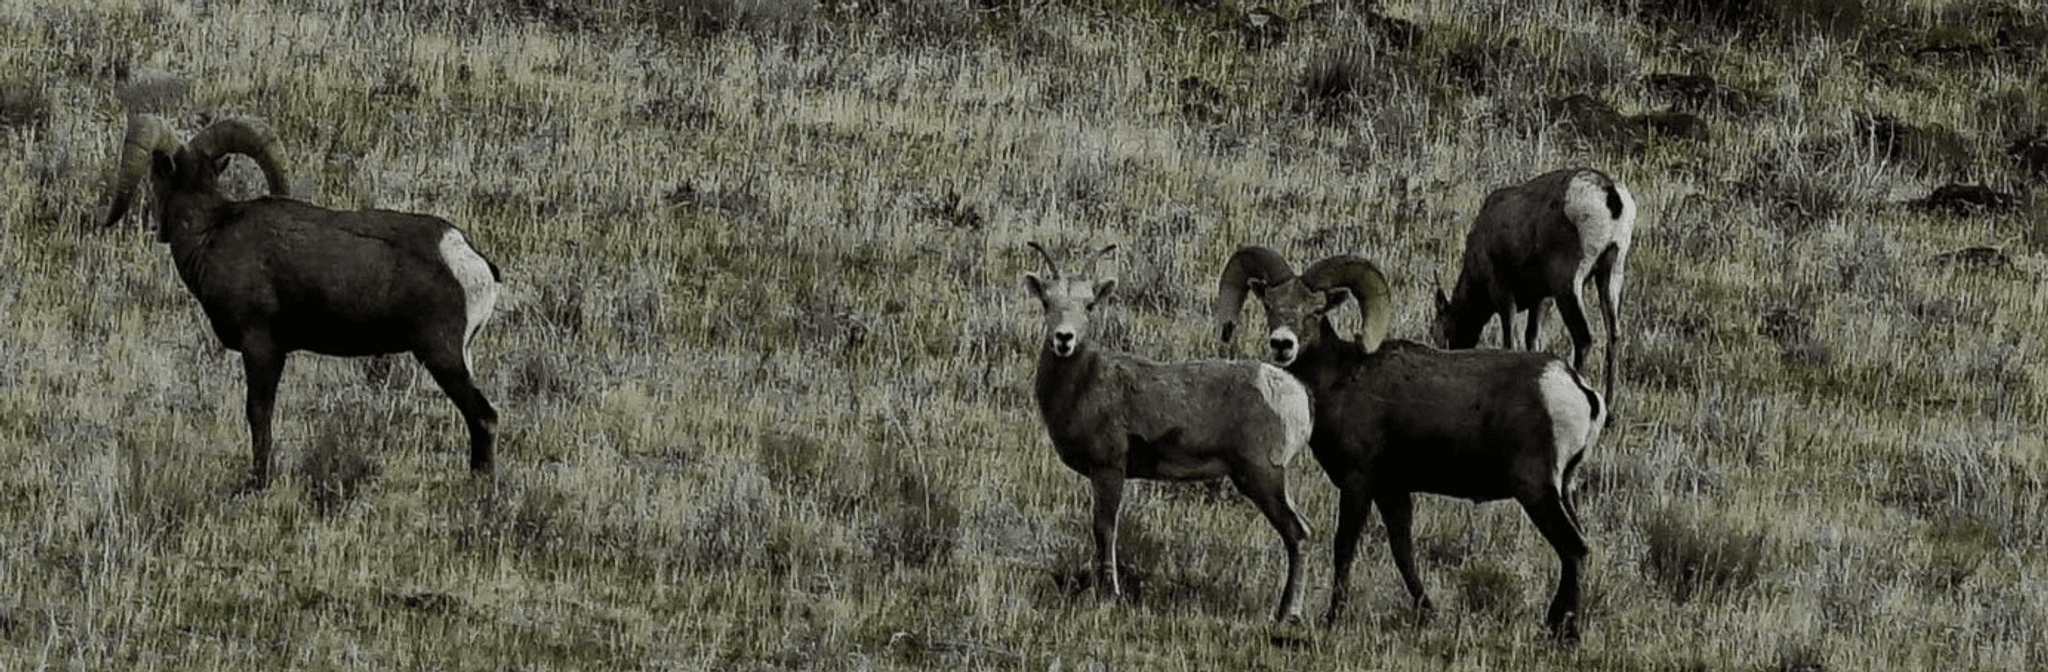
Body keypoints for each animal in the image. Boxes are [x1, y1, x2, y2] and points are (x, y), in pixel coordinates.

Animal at [101, 112, 502, 488]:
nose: (160, 231)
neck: (211, 233)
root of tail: (466, 255)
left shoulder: (262, 348)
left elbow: (258, 414)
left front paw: (258, 480)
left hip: (442, 355)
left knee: (483, 416)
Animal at [1024, 241, 1315, 622]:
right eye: (1047, 302)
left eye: (1089, 305)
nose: (1064, 339)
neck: (1085, 384)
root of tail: (1296, 395)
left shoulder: (1109, 470)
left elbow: (1105, 529)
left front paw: (1110, 593)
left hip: (1263, 477)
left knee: (1297, 534)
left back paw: (1288, 615)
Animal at [1217, 246, 1607, 642]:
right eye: (1269, 305)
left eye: (1315, 310)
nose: (1282, 344)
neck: (1341, 379)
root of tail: (1576, 387)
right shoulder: (1393, 491)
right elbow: (1403, 551)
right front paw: (1428, 612)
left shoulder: (1359, 483)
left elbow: (1344, 547)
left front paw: (1332, 617)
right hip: (1563, 488)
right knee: (1576, 548)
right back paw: (1554, 623)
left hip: (1536, 489)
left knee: (1574, 549)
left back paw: (1569, 633)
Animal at [1431, 168, 1635, 417]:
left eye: (1440, 331)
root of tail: (1612, 197)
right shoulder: (1542, 296)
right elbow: (1532, 339)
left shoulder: (1500, 285)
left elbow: (1511, 339)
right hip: (1614, 267)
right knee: (1614, 334)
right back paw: (1611, 407)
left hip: (1567, 275)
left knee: (1584, 337)